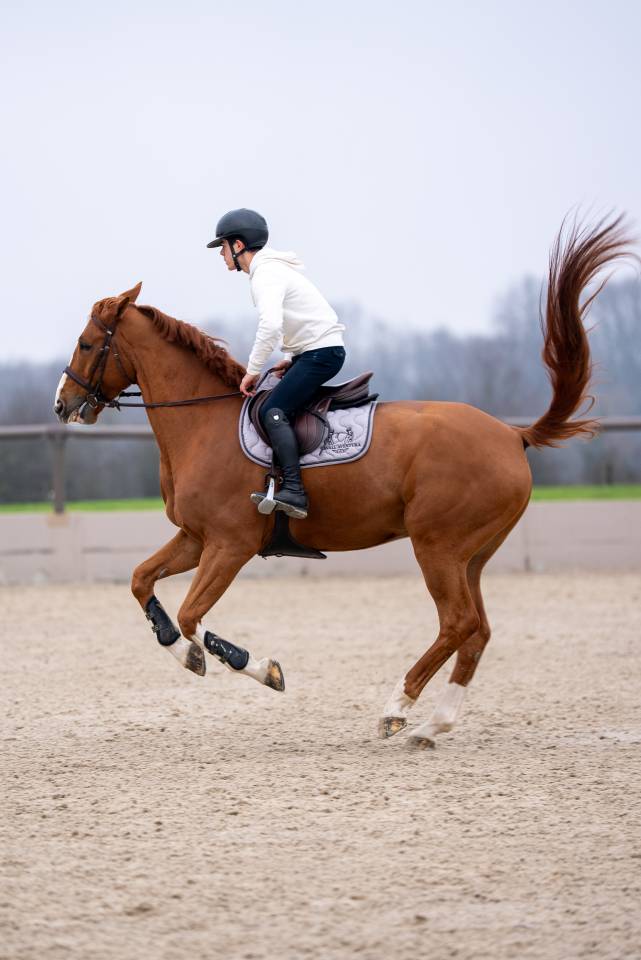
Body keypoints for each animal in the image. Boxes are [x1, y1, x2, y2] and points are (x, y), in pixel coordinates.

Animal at [53, 216, 632, 748]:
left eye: (86, 344)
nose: (62, 405)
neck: (203, 422)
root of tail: (512, 435)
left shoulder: (230, 544)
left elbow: (195, 613)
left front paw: (256, 666)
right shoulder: (196, 538)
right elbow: (142, 582)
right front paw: (183, 650)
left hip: (438, 547)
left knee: (457, 623)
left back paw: (397, 708)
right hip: (473, 556)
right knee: (477, 630)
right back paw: (434, 725)